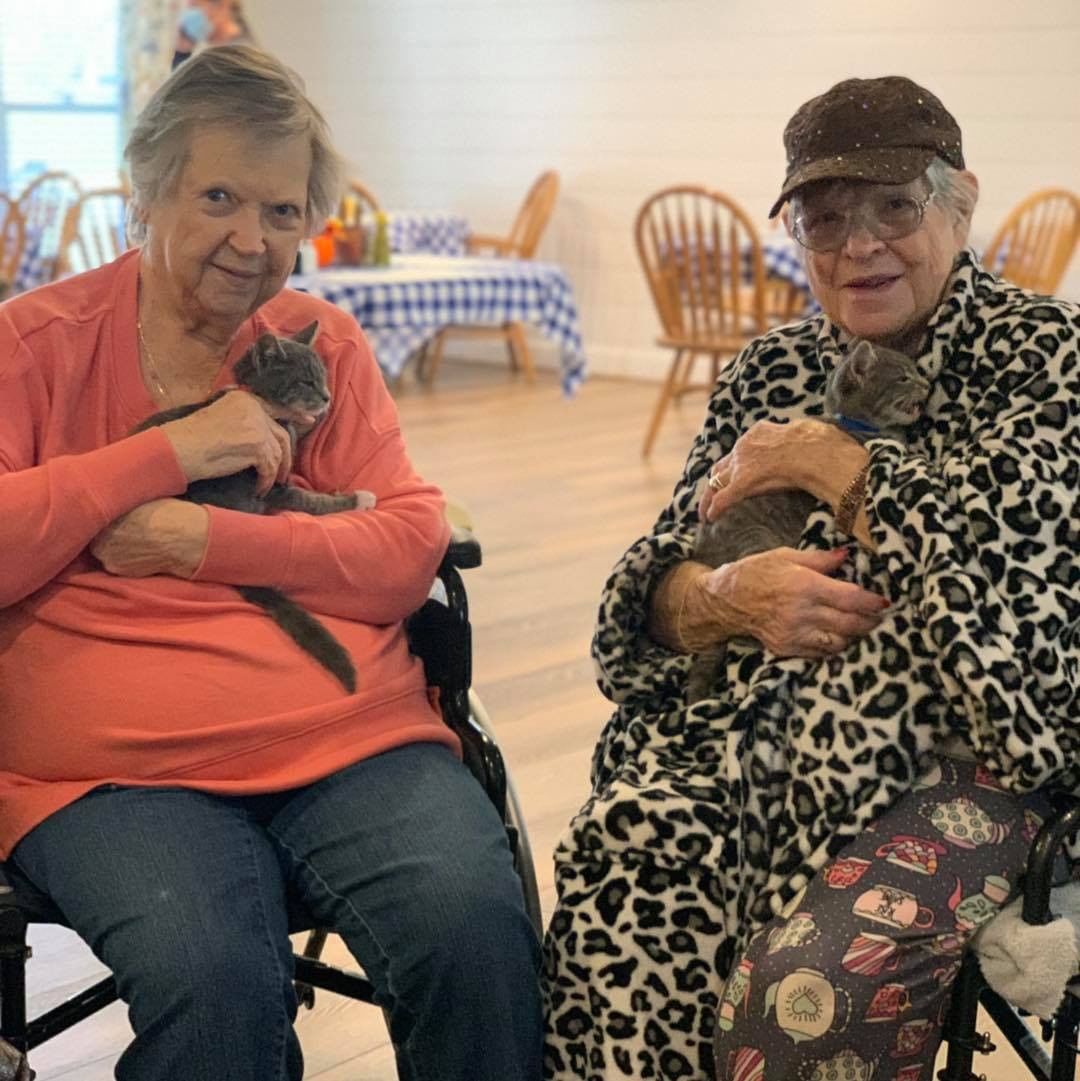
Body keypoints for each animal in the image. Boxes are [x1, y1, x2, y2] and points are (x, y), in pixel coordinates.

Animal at [132, 319, 361, 691]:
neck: (265, 405)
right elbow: (310, 500)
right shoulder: (273, 484)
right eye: (306, 380)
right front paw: (357, 499)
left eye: (324, 377)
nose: (328, 397)